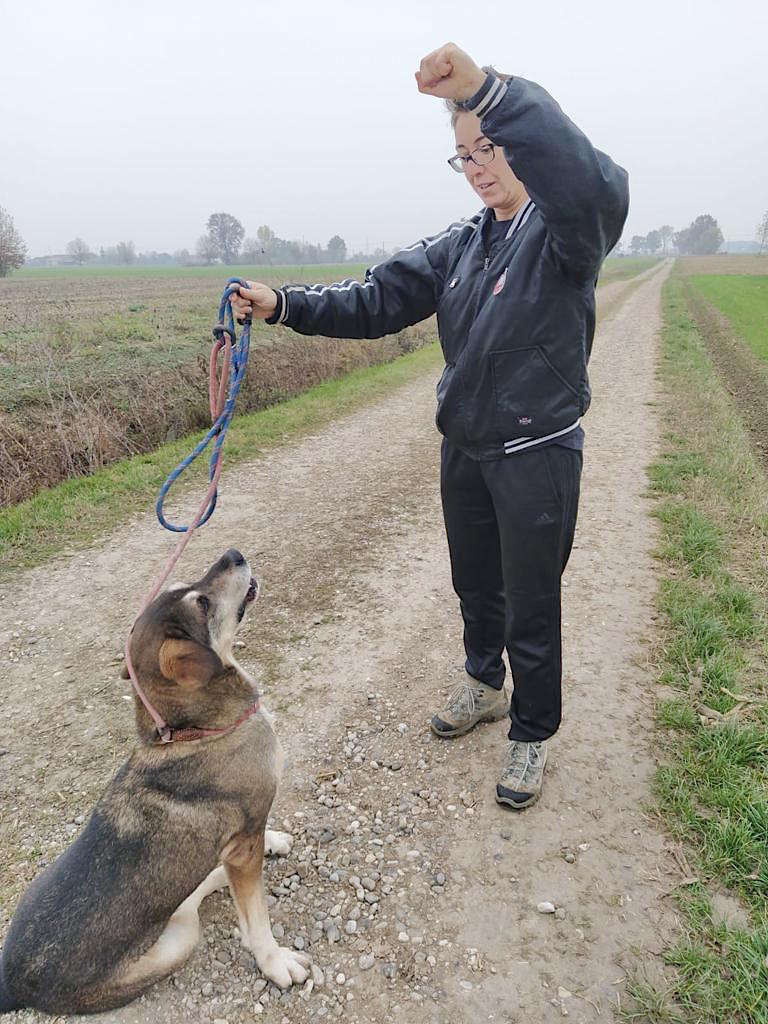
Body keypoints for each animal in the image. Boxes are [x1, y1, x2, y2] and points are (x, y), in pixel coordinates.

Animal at [0, 548, 310, 1015]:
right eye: (203, 603)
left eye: (188, 585)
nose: (234, 554)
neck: (195, 731)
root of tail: (12, 985)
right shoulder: (242, 847)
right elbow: (256, 920)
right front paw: (274, 962)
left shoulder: (244, 843)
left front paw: (270, 841)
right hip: (179, 942)